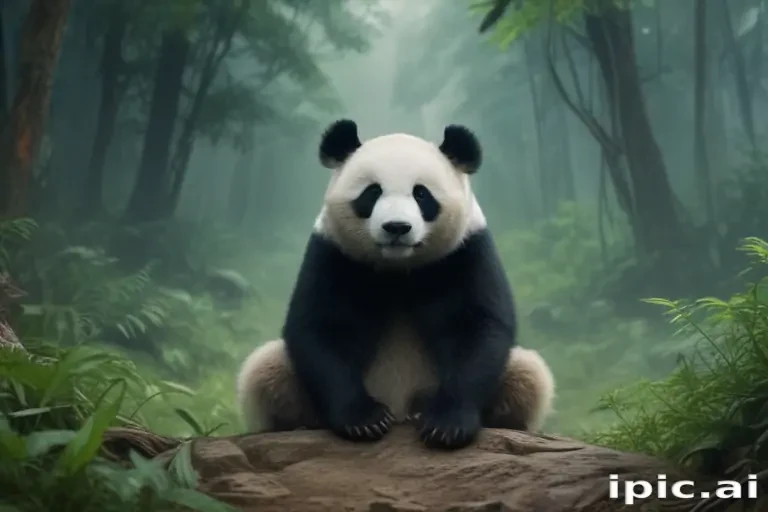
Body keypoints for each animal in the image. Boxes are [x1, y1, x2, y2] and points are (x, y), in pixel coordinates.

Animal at [236, 119, 555, 450]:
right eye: (372, 192)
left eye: (422, 194)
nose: (397, 228)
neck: (398, 267)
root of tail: (402, 409)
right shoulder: (332, 252)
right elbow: (322, 327)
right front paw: (364, 420)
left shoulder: (466, 251)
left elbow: (475, 328)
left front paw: (446, 425)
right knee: (265, 368)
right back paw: (300, 426)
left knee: (528, 373)